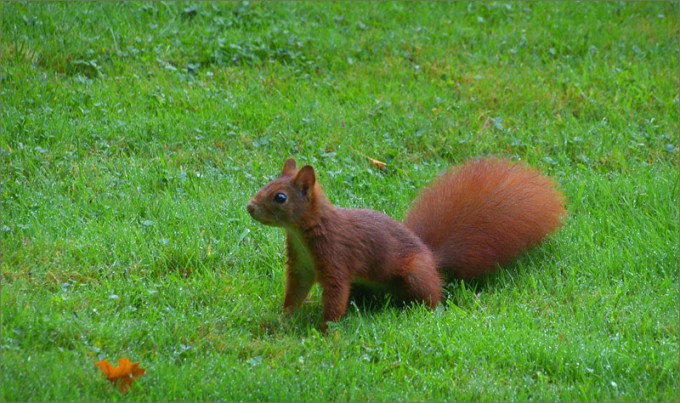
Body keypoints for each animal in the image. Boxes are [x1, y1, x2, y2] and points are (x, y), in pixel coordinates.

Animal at [246, 157, 566, 330]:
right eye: (266, 185)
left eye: (280, 197)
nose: (249, 207)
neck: (303, 233)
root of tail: (432, 258)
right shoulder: (300, 265)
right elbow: (296, 291)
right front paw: (284, 318)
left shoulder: (336, 257)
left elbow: (335, 296)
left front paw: (327, 331)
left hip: (414, 274)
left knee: (434, 297)